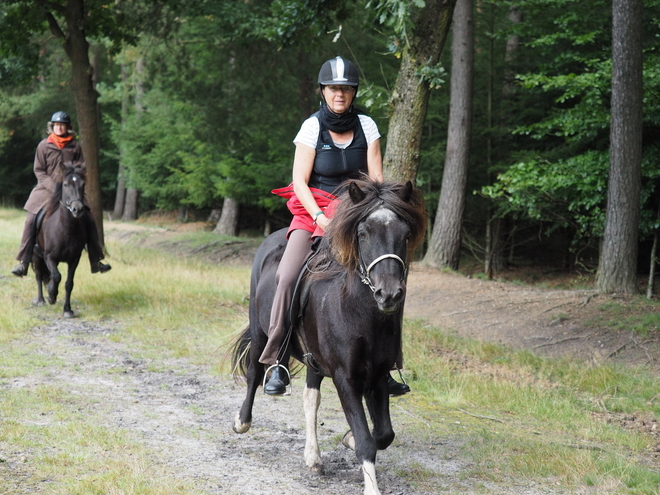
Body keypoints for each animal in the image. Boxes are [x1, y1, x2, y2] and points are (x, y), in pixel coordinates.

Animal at [32, 162, 88, 318]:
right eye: (65, 184)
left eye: (83, 184)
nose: (77, 209)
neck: (66, 229)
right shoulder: (49, 257)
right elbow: (56, 276)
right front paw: (51, 295)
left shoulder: (74, 259)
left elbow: (69, 283)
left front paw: (67, 309)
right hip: (36, 255)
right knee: (39, 275)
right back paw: (41, 300)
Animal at [232, 178, 428, 495]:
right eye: (362, 233)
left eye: (406, 234)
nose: (388, 294)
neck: (359, 311)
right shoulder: (345, 378)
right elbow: (367, 442)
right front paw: (370, 485)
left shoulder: (377, 376)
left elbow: (383, 434)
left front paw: (348, 438)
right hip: (261, 331)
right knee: (254, 372)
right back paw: (242, 421)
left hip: (314, 358)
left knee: (311, 398)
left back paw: (313, 458)